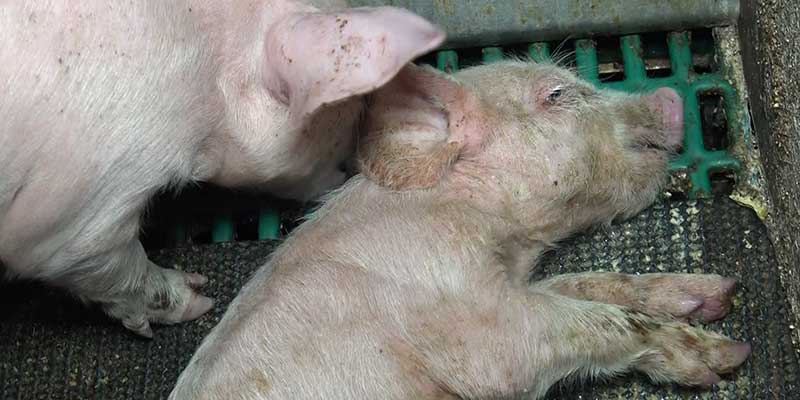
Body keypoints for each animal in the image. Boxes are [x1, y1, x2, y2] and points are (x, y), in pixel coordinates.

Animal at [167, 61, 752, 398]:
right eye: (556, 95)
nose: (669, 97)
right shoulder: (469, 327)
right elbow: (592, 324)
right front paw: (726, 358)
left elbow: (585, 284)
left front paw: (719, 293)